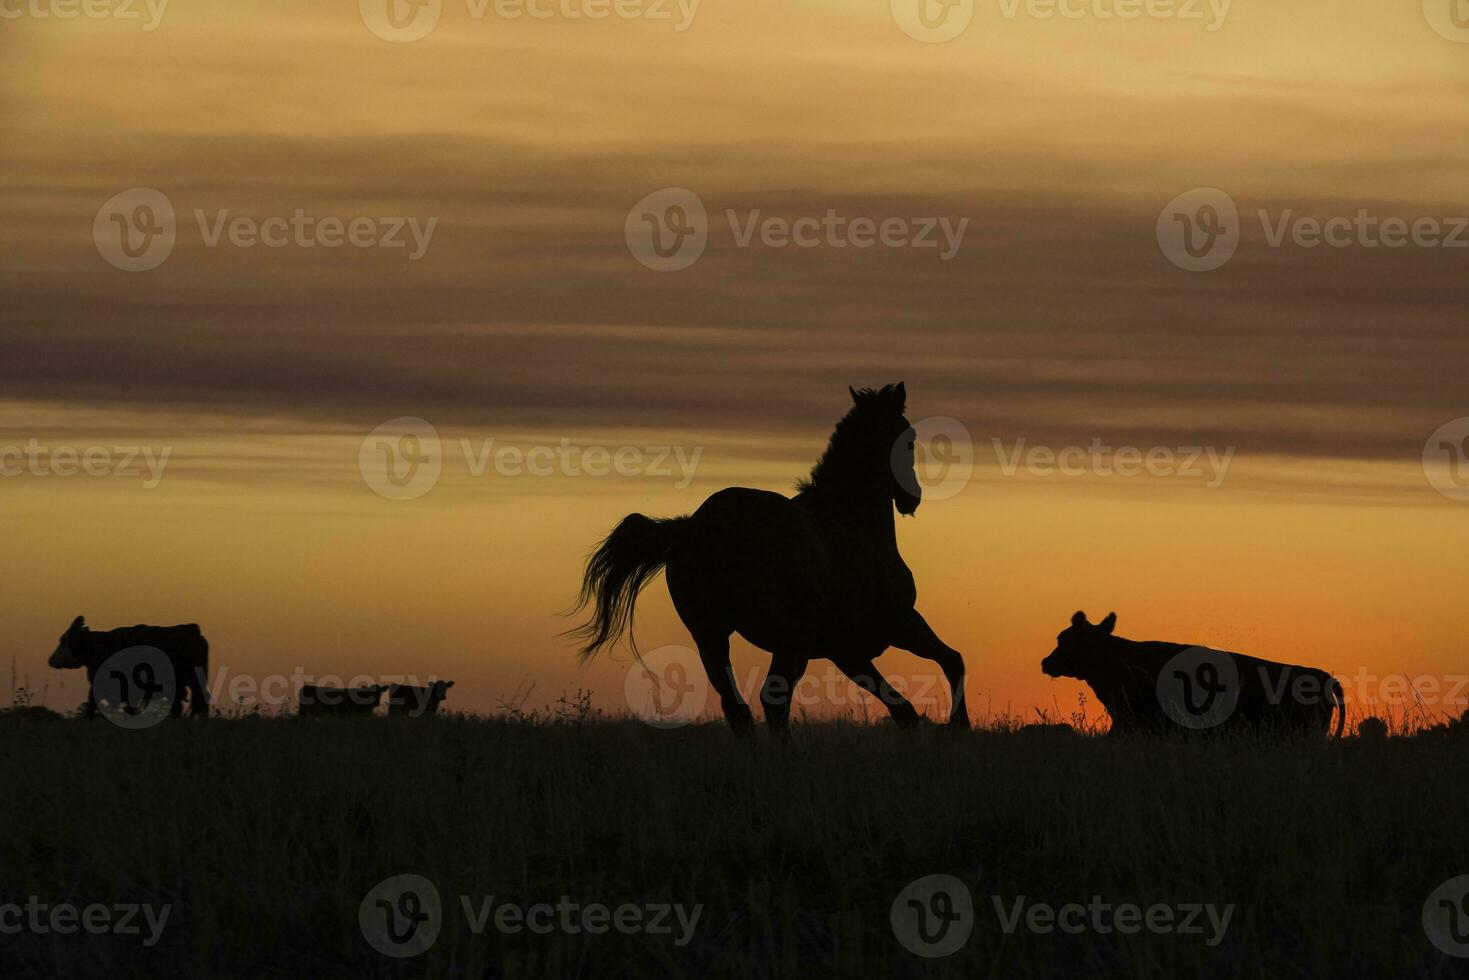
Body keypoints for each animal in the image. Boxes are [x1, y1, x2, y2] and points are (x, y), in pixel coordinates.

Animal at [49, 614, 211, 719]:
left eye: (63, 640)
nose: (51, 660)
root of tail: (193, 630)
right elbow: (91, 706)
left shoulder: (128, 690)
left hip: (194, 681)